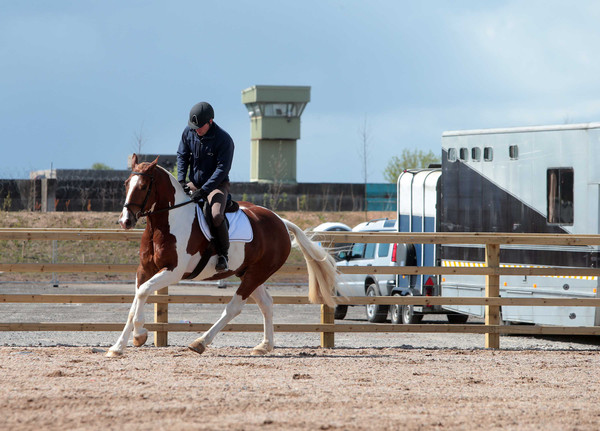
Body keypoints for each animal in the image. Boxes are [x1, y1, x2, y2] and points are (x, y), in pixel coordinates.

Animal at [106, 155, 338, 358]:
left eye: (143, 186)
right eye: (126, 184)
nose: (125, 221)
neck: (164, 224)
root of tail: (280, 221)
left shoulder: (173, 271)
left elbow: (143, 292)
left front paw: (139, 335)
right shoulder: (144, 270)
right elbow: (136, 301)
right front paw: (119, 346)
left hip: (257, 273)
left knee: (234, 307)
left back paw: (200, 343)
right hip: (249, 272)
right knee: (266, 303)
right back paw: (264, 346)